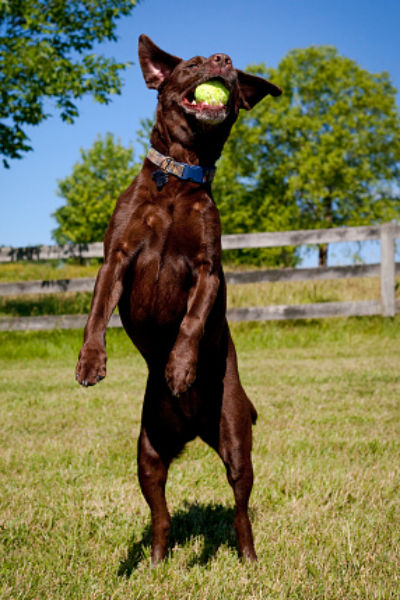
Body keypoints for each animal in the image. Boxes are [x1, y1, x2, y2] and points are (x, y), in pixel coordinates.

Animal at [76, 35, 282, 564]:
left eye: (235, 71)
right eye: (190, 63)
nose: (224, 61)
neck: (180, 177)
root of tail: (191, 428)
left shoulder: (207, 271)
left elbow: (191, 322)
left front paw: (181, 368)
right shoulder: (116, 260)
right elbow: (95, 315)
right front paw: (90, 363)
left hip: (235, 439)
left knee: (240, 509)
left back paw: (247, 558)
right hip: (148, 452)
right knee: (161, 514)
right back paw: (152, 561)